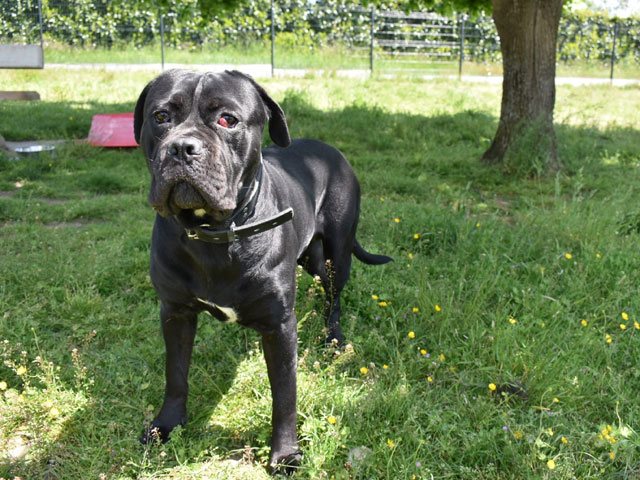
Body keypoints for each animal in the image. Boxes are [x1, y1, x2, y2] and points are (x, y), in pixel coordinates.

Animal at [134, 68, 390, 472]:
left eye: (227, 120)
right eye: (161, 117)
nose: (182, 148)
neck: (216, 233)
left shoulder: (279, 325)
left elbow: (284, 394)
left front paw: (285, 453)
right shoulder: (175, 313)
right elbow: (175, 375)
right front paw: (166, 425)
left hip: (338, 255)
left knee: (334, 298)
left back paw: (333, 339)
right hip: (312, 259)